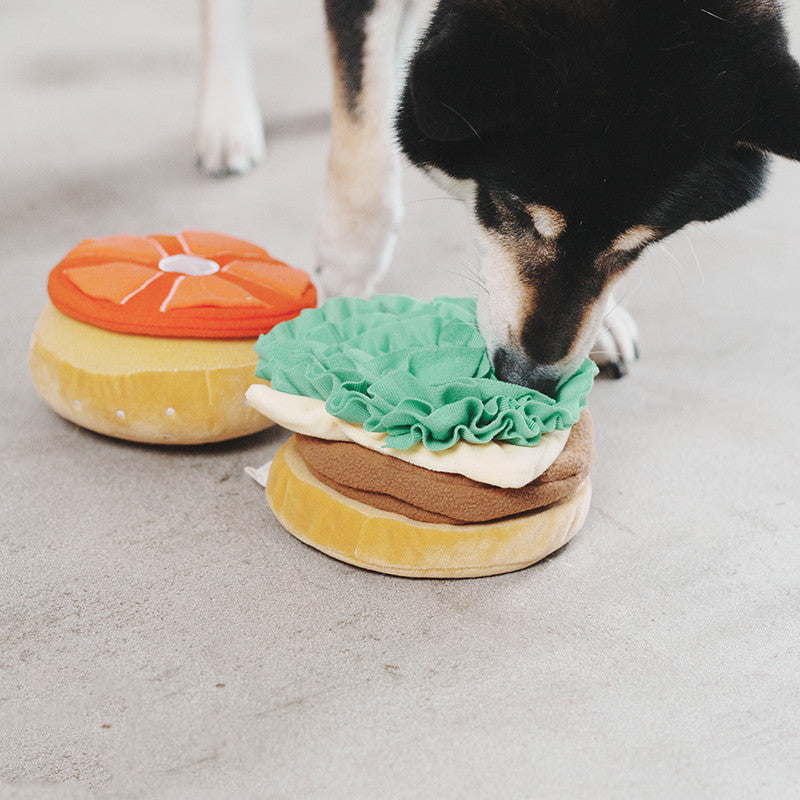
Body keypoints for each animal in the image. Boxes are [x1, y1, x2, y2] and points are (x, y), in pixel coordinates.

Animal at [195, 0, 800, 394]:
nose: (527, 379)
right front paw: (344, 279)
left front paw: (604, 323)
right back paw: (227, 119)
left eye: (640, 245)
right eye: (514, 209)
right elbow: (366, 144)